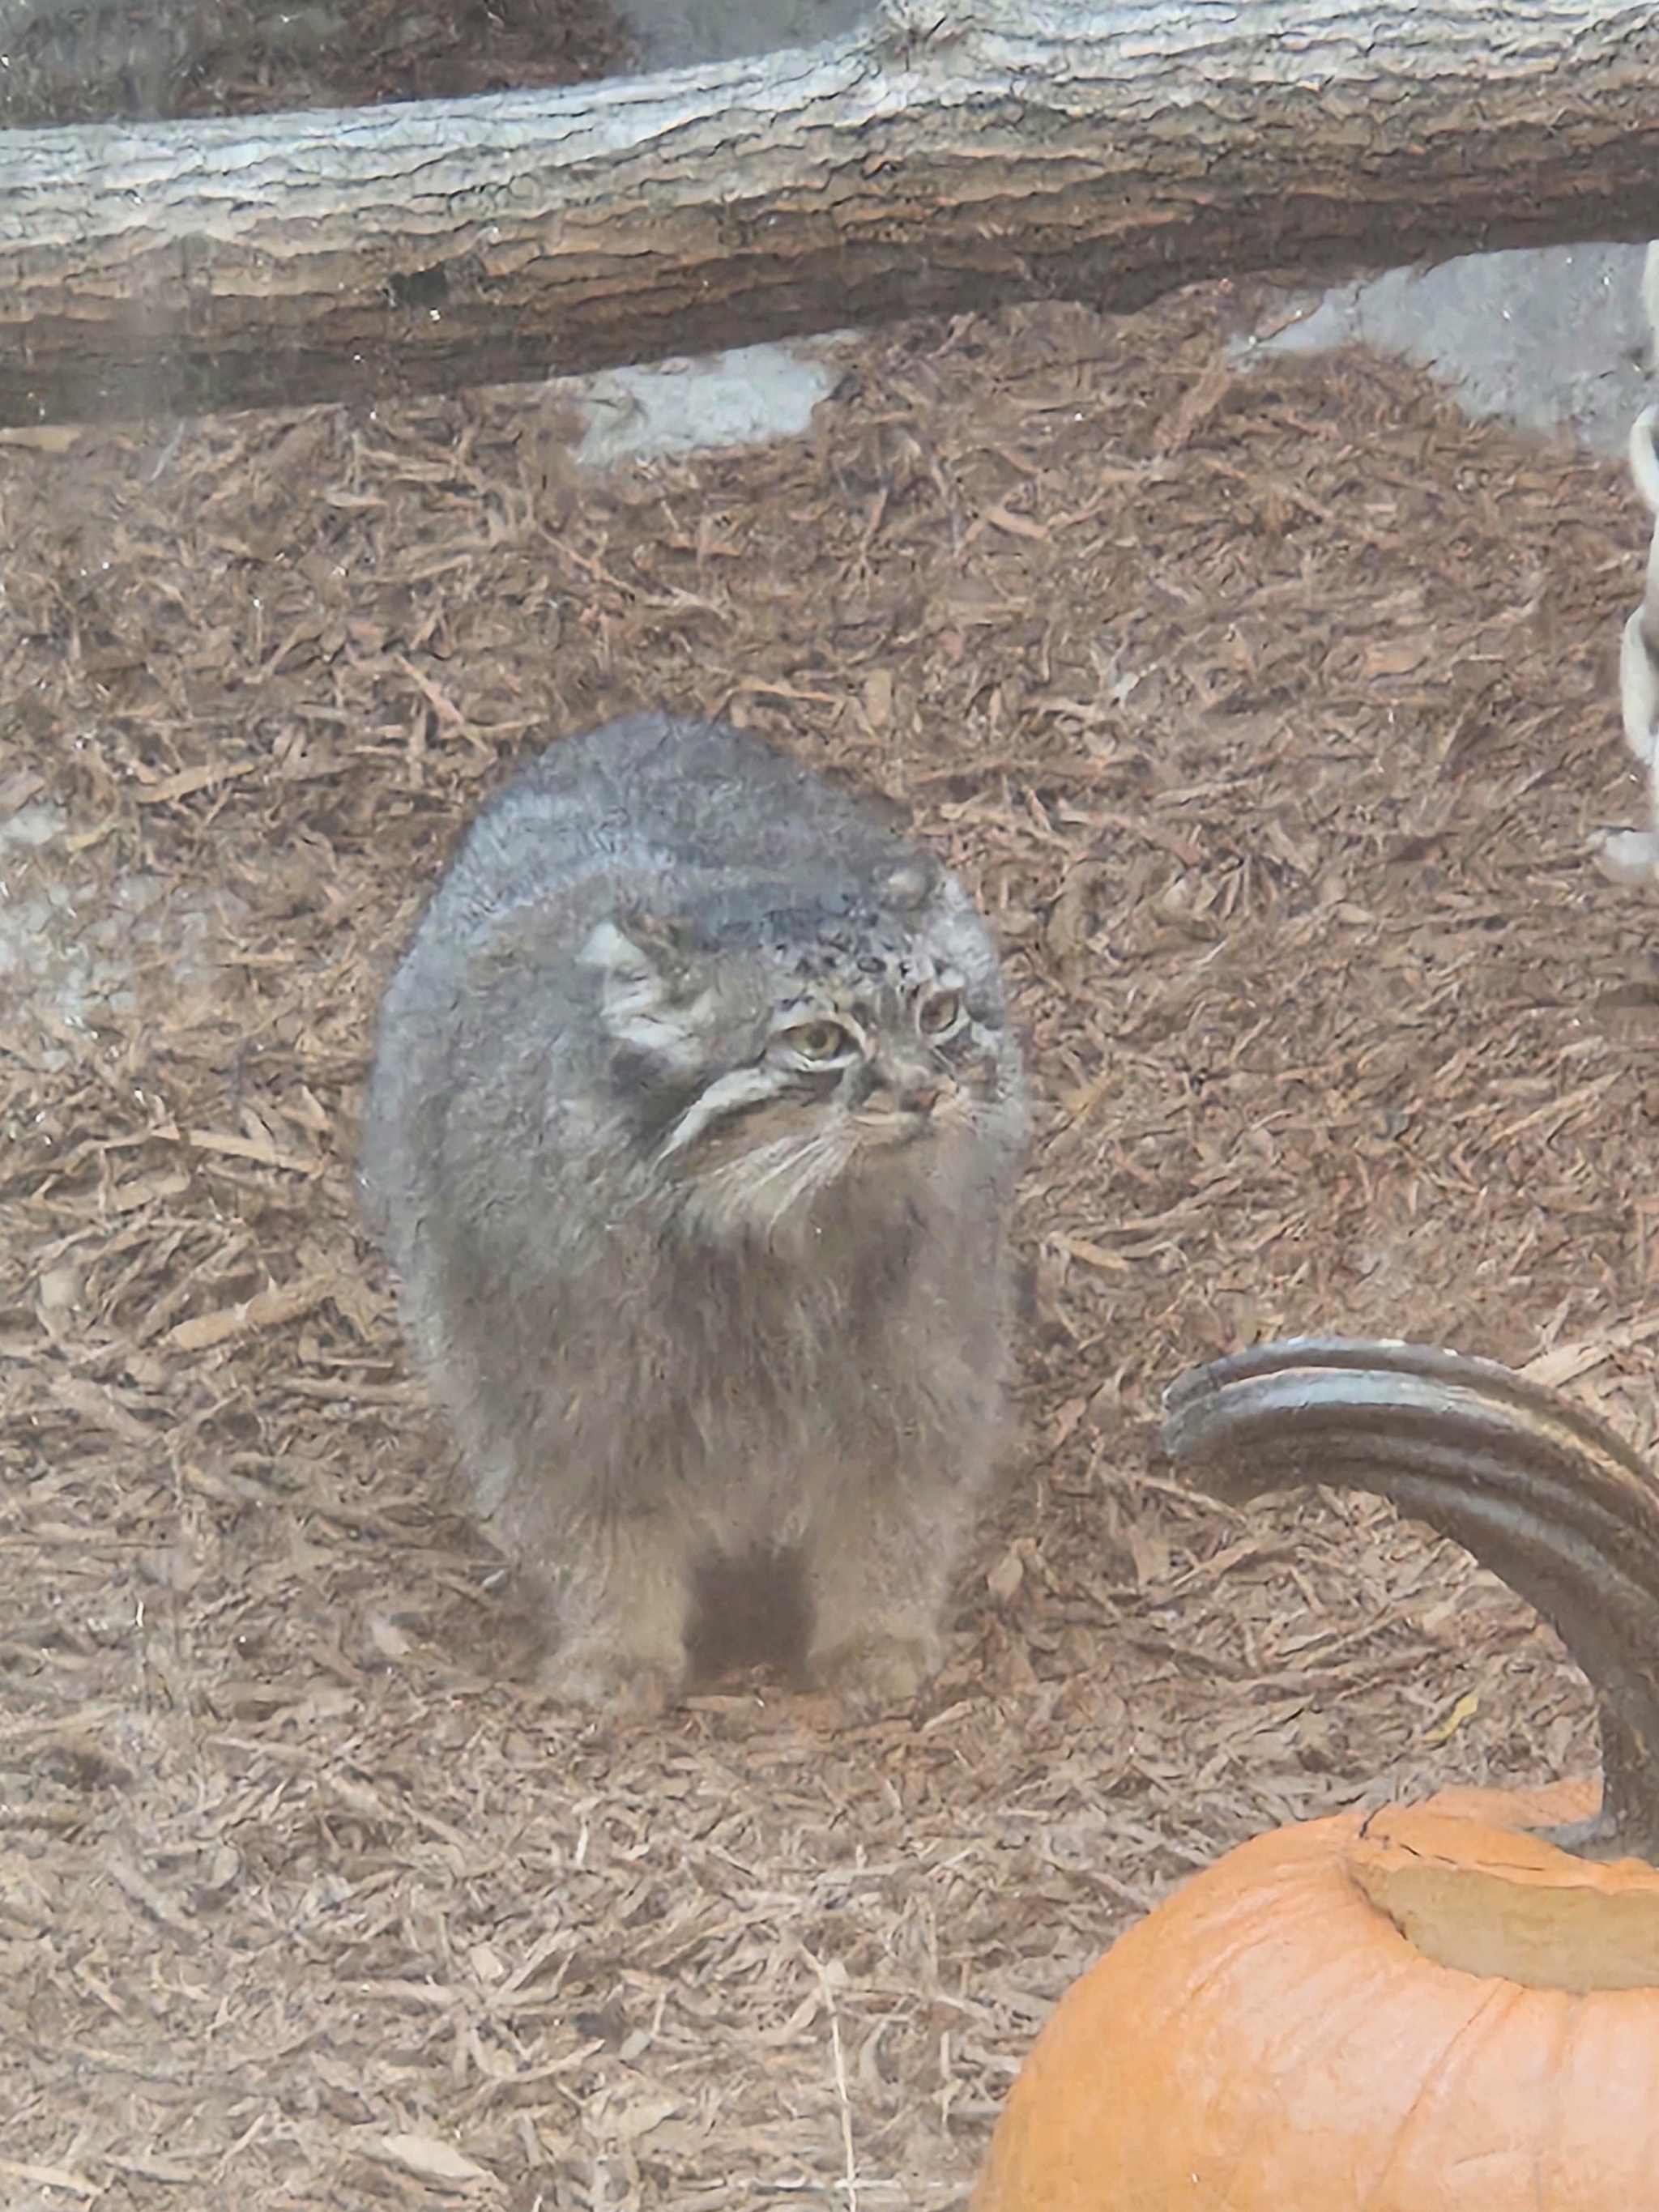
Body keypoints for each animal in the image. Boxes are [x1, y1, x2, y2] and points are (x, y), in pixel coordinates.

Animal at [367, 707, 1026, 1707]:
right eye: (819, 1040)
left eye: (940, 1013)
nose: (924, 1092)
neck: (785, 1231)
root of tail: (635, 720)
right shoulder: (560, 1398)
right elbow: (596, 1536)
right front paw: (616, 1652)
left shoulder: (923, 1365)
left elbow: (892, 1513)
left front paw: (876, 1636)